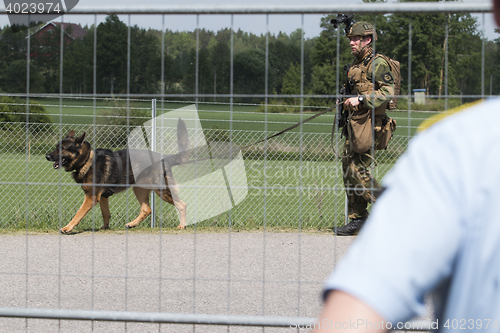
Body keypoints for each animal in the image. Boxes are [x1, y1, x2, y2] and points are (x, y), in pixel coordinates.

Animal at [46, 119, 189, 233]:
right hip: (139, 189)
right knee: (146, 209)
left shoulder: (91, 197)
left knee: (182, 205)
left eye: (63, 149)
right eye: (56, 147)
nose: (47, 156)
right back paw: (132, 224)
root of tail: (164, 157)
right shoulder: (103, 197)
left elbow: (78, 214)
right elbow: (106, 214)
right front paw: (105, 227)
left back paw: (182, 226)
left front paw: (67, 228)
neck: (87, 160)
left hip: (161, 190)